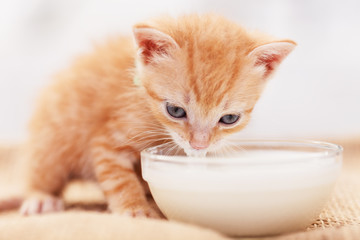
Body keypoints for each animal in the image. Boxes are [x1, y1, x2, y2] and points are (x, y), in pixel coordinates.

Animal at [16, 14, 296, 218]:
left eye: (229, 119)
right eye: (175, 111)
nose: (199, 144)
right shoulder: (107, 140)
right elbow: (119, 178)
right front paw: (134, 209)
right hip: (53, 139)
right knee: (42, 169)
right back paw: (39, 197)